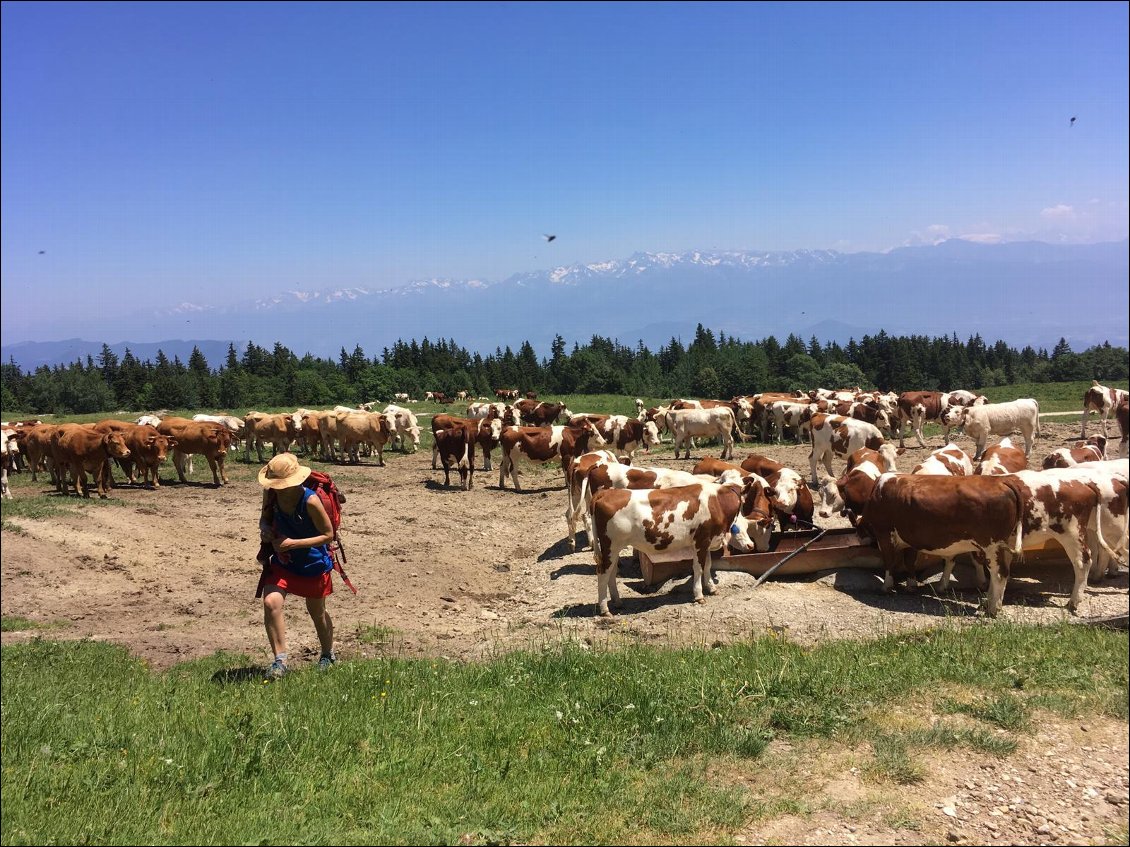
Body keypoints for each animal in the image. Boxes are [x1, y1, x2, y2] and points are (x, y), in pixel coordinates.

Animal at [587, 474, 772, 614]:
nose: (751, 546)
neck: (718, 502)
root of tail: (604, 494)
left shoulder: (706, 541)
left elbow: (708, 565)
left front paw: (711, 588)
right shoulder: (701, 540)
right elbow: (698, 568)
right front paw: (699, 595)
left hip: (613, 548)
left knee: (611, 572)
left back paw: (617, 602)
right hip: (610, 545)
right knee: (603, 572)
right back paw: (604, 609)